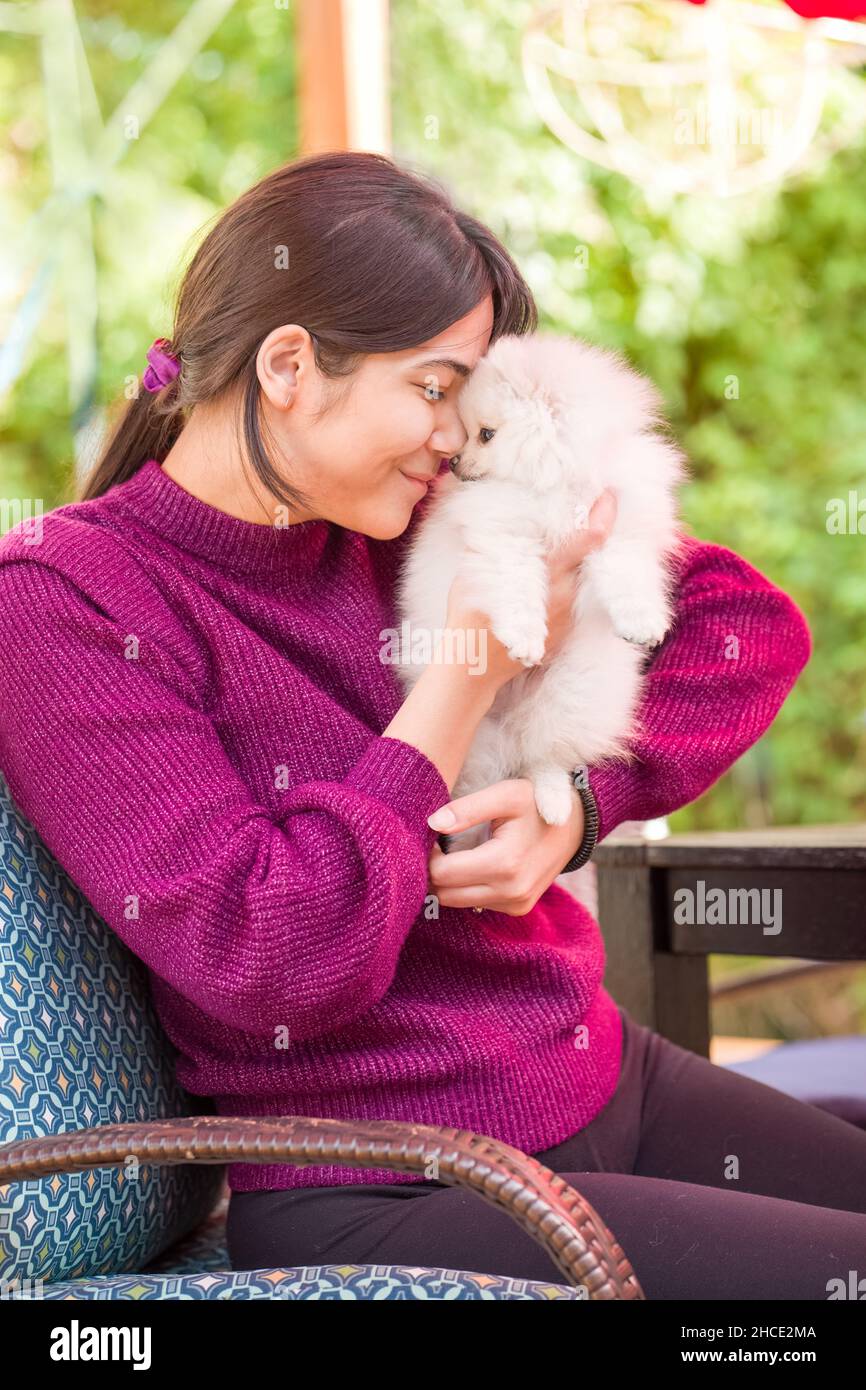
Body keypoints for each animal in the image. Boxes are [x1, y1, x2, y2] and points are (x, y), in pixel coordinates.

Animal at [394, 332, 692, 850]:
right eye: (469, 432)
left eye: (485, 434)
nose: (454, 462)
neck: (552, 481)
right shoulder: (504, 535)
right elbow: (517, 584)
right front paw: (525, 637)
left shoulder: (618, 518)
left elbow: (624, 566)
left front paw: (640, 620)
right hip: (478, 737)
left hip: (574, 694)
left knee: (543, 759)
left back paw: (553, 803)